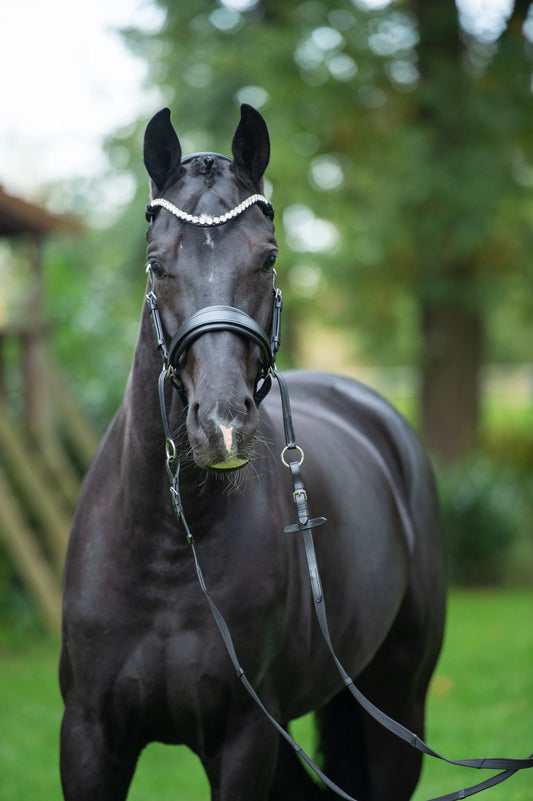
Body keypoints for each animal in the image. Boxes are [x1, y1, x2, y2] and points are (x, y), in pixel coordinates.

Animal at [59, 103, 446, 801]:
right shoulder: (88, 739)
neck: (169, 549)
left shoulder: (245, 739)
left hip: (397, 705)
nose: (222, 426)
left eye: (267, 259)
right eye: (157, 265)